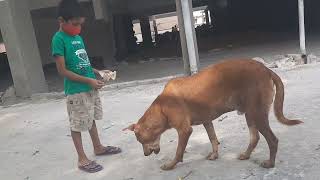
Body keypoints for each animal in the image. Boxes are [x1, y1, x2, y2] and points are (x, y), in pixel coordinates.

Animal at [123, 59, 302, 170]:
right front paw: (215, 154)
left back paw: (270, 163)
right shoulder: (206, 120)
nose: (145, 154)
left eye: (140, 141)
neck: (161, 107)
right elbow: (213, 138)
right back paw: (246, 155)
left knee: (272, 140)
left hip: (257, 113)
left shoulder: (184, 130)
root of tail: (266, 69)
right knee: (255, 137)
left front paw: (171, 165)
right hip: (250, 113)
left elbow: (179, 151)